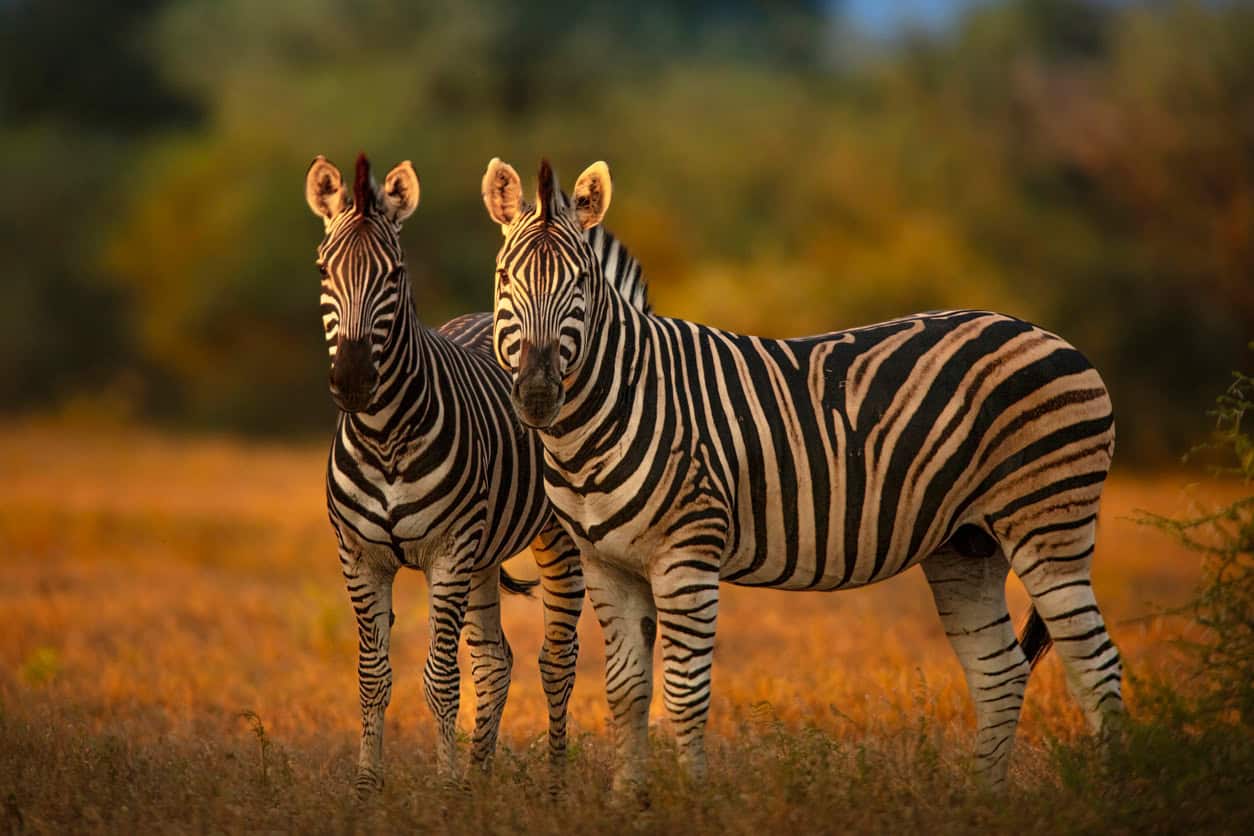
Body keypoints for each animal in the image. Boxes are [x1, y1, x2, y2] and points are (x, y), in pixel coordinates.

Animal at [303, 153, 604, 795]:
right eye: (322, 270)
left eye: (394, 275)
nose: (353, 382)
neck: (384, 436)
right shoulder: (358, 555)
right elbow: (373, 676)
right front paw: (369, 789)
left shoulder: (448, 552)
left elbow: (440, 678)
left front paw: (442, 792)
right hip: (483, 554)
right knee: (495, 659)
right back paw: (480, 779)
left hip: (551, 540)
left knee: (556, 659)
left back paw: (553, 785)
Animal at [479, 157, 1124, 793]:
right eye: (505, 280)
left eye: (581, 284)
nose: (537, 396)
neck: (619, 403)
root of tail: (1050, 336)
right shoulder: (605, 564)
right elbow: (626, 692)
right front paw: (628, 802)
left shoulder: (688, 554)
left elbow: (683, 695)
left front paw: (692, 802)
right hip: (967, 544)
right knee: (1000, 672)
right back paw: (984, 801)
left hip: (1047, 523)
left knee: (1096, 666)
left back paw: (1109, 797)